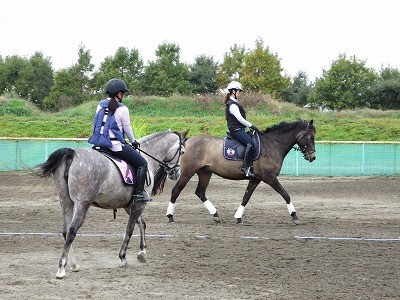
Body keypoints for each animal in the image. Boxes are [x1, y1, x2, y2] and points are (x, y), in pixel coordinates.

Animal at [34, 130, 188, 278]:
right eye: (182, 152)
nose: (176, 173)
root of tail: (73, 153)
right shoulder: (139, 205)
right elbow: (129, 230)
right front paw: (123, 257)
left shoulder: (129, 205)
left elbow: (141, 224)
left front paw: (142, 252)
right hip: (82, 203)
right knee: (72, 231)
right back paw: (61, 268)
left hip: (66, 201)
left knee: (66, 232)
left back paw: (73, 264)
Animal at [166, 120, 316, 224]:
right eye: (310, 137)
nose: (313, 157)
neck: (272, 145)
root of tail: (186, 142)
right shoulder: (270, 177)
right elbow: (286, 194)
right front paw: (294, 216)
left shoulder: (256, 179)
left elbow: (246, 197)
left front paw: (238, 217)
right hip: (187, 172)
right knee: (176, 191)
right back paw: (170, 216)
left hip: (205, 173)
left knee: (200, 192)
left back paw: (215, 215)